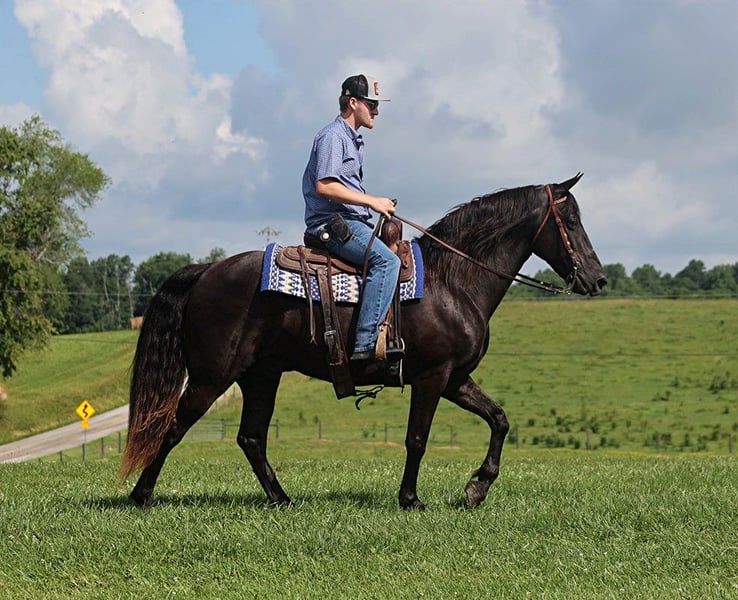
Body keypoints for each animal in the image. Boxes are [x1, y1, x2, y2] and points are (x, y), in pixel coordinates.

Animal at [120, 173, 606, 510]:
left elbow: (500, 419)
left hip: (261, 376)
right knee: (173, 426)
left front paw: (476, 488)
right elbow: (417, 439)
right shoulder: (432, 377)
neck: (454, 281)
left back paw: (283, 499)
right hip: (211, 377)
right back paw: (141, 495)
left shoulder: (455, 378)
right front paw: (411, 499)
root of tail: (205, 271)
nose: (598, 279)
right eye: (570, 220)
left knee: (251, 439)